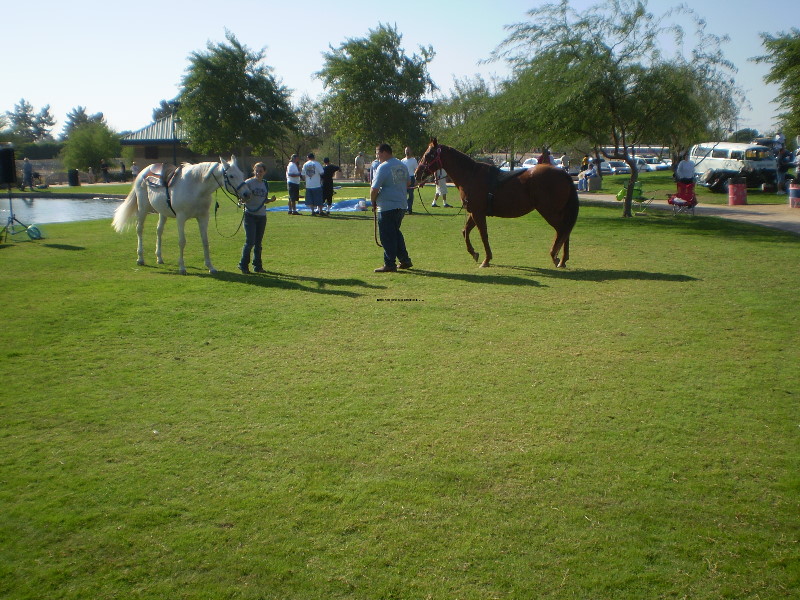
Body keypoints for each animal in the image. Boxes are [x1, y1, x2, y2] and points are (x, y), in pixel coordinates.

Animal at [112, 156, 248, 276]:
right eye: (231, 176)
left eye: (242, 174)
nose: (246, 194)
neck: (196, 187)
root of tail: (143, 172)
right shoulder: (181, 218)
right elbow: (182, 242)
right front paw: (182, 268)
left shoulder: (203, 217)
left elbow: (205, 241)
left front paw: (210, 267)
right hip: (143, 208)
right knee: (139, 229)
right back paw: (140, 258)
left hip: (162, 213)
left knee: (159, 231)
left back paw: (159, 258)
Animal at [416, 141, 580, 268]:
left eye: (429, 155)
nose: (417, 173)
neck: (471, 176)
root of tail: (563, 174)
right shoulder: (474, 212)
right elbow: (465, 231)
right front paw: (474, 253)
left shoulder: (478, 213)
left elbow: (483, 235)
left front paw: (486, 259)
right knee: (565, 231)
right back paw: (562, 260)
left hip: (549, 211)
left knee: (562, 230)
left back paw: (555, 256)